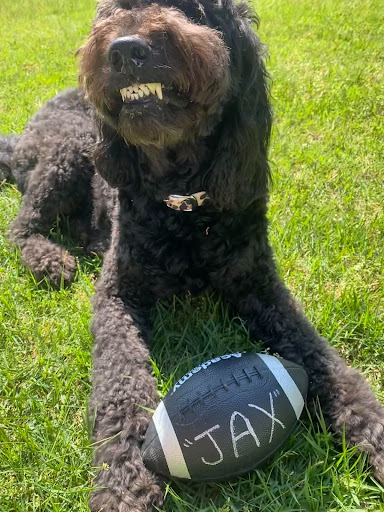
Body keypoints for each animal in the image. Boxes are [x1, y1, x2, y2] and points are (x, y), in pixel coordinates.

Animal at [3, 0, 384, 508]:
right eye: (114, 11)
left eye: (197, 12)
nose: (125, 50)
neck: (182, 204)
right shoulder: (117, 296)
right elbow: (121, 383)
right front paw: (124, 480)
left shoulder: (262, 287)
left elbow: (327, 364)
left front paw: (373, 433)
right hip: (68, 152)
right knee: (20, 227)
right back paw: (51, 260)